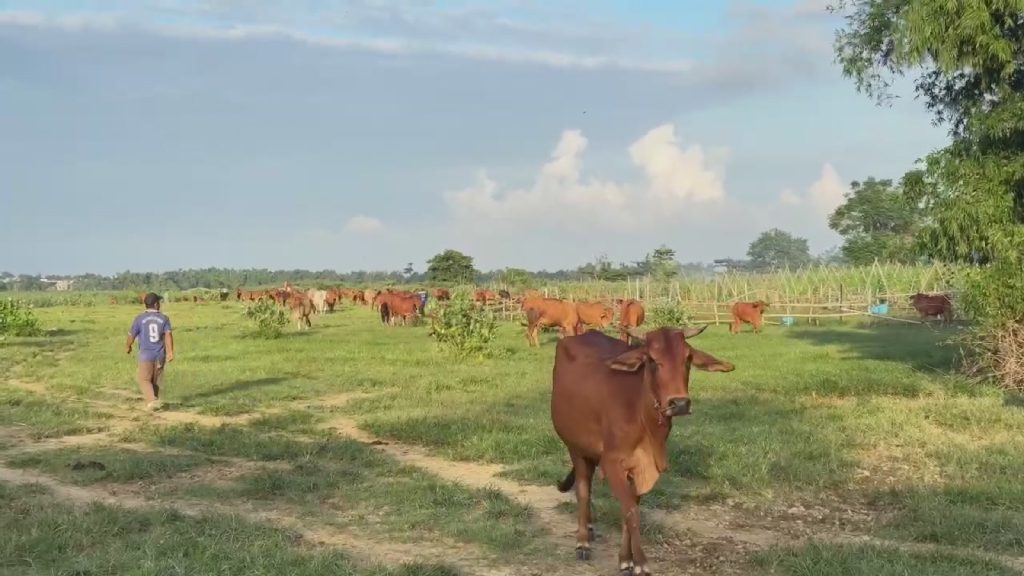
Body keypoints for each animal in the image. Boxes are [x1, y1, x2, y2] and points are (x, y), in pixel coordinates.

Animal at [551, 326, 734, 575]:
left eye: (687, 358)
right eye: (653, 360)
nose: (679, 404)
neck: (643, 417)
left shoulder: (640, 468)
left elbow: (630, 509)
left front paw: (626, 559)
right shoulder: (613, 463)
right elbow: (631, 512)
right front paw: (641, 562)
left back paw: (589, 527)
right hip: (575, 447)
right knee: (583, 490)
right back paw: (582, 541)